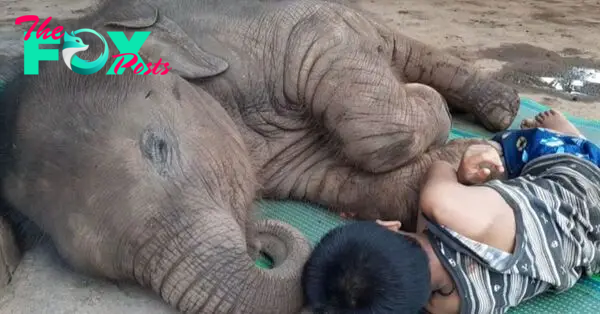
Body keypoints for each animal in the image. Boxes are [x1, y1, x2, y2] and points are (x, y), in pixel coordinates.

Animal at [0, 0, 516, 312]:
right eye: (96, 263)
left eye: (160, 147)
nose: (257, 241)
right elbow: (347, 181)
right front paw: (470, 160)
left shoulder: (270, 30)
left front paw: (432, 105)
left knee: (394, 45)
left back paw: (499, 108)